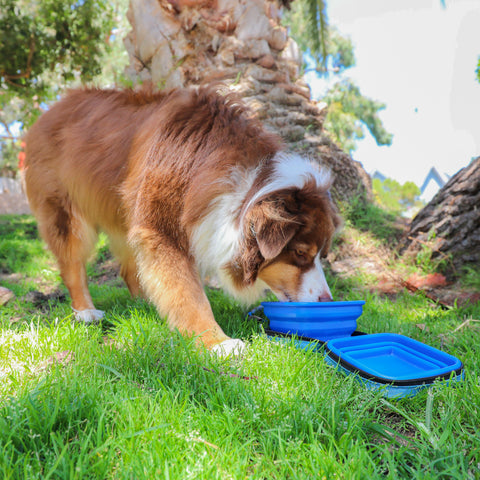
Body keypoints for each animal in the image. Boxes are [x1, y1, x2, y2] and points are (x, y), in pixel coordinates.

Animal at [24, 86, 340, 356]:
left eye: (321, 255)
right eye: (300, 253)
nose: (328, 301)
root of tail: (48, 112)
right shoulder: (160, 222)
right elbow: (187, 289)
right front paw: (218, 342)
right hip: (65, 205)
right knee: (72, 260)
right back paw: (86, 311)